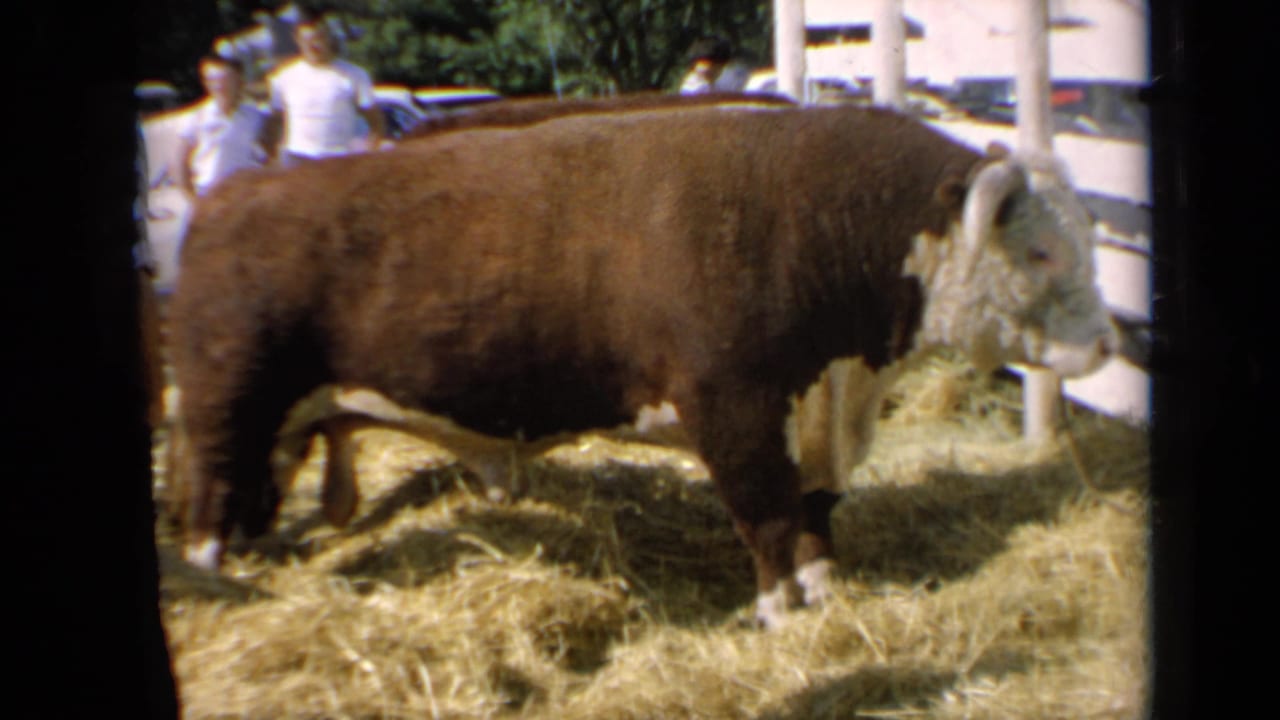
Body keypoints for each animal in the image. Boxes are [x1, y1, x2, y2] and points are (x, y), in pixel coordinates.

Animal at [167, 103, 1117, 627]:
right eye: (1039, 251)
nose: (1111, 344)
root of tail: (234, 193)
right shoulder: (735, 410)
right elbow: (769, 520)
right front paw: (779, 614)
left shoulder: (810, 411)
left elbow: (814, 516)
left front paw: (824, 595)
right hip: (225, 408)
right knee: (210, 506)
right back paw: (217, 588)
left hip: (282, 422)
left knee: (252, 494)